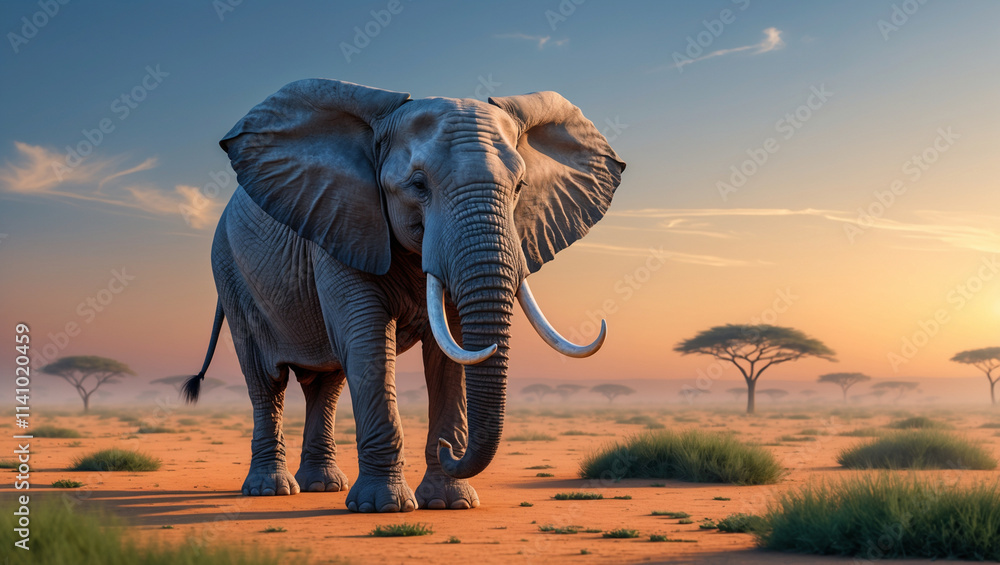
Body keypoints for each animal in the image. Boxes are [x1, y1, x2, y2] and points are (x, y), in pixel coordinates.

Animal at [184, 79, 625, 512]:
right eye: (418, 185)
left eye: (520, 187)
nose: (450, 449)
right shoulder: (344, 222)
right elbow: (368, 343)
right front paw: (383, 506)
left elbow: (452, 351)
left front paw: (449, 503)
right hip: (230, 274)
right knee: (267, 380)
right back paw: (270, 490)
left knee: (327, 384)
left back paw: (322, 486)